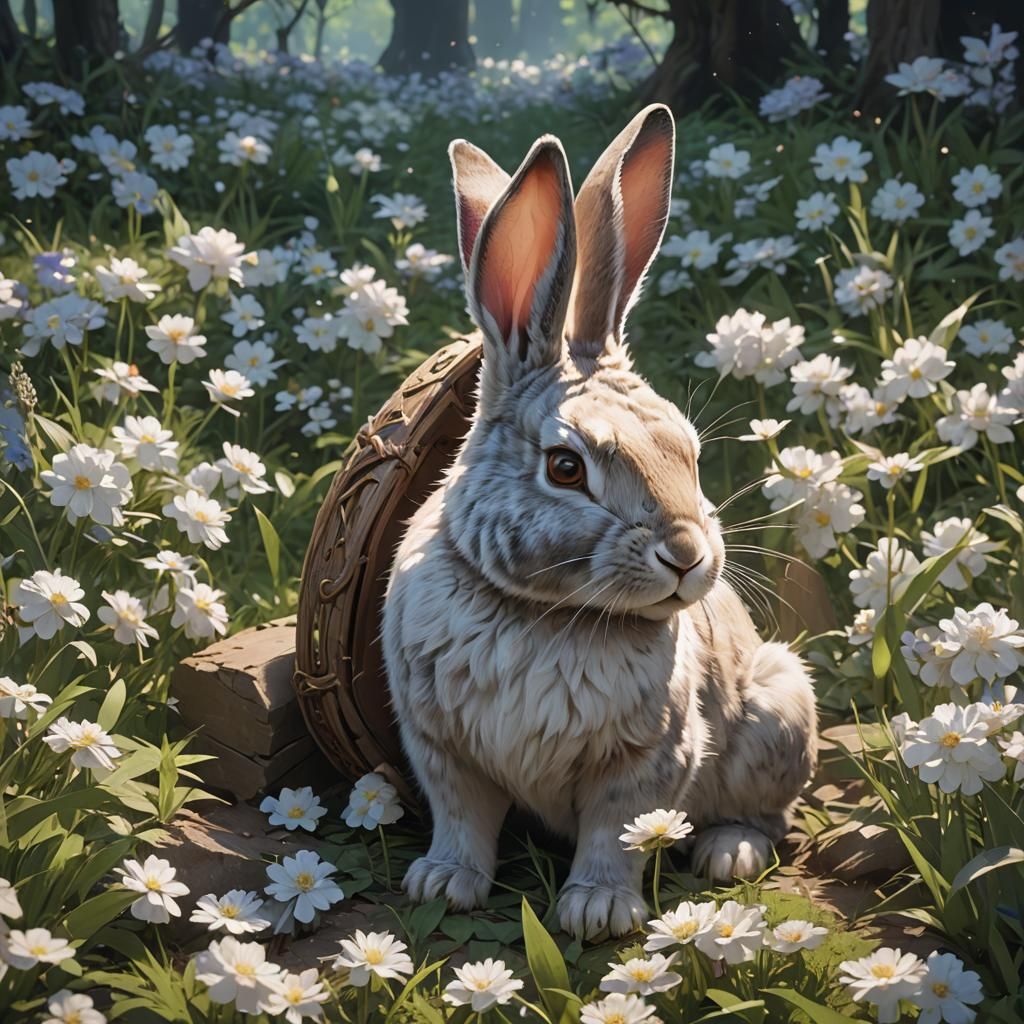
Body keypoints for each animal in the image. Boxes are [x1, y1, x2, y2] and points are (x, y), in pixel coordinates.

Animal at [381, 103, 818, 940]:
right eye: (565, 467)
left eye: (688, 449)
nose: (687, 554)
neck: (544, 614)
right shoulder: (441, 749)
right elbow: (464, 820)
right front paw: (441, 884)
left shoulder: (651, 757)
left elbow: (619, 829)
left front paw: (596, 912)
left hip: (779, 714)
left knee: (768, 817)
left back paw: (729, 853)